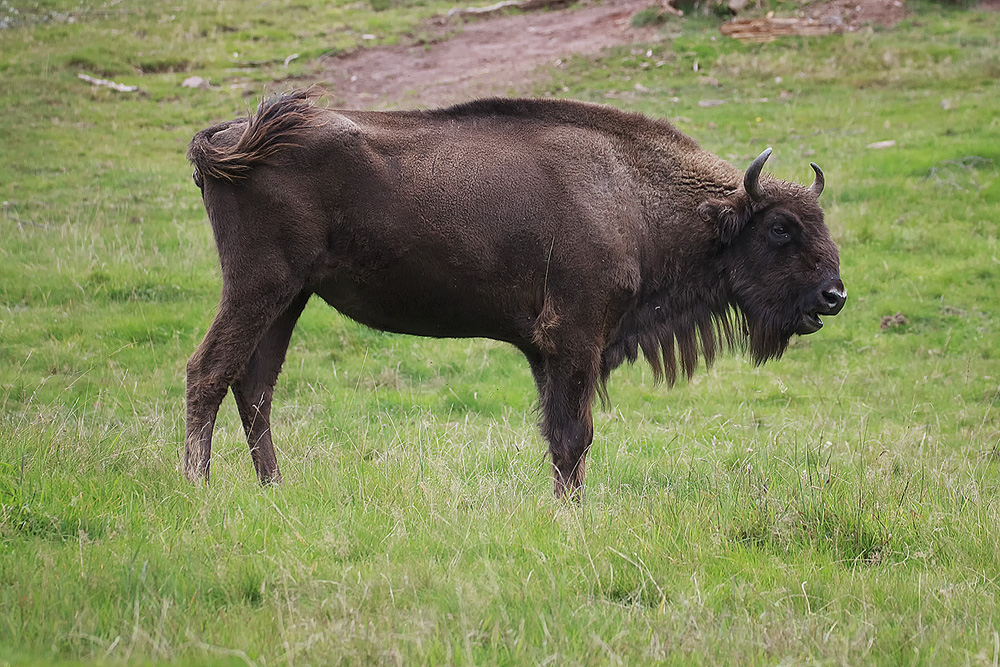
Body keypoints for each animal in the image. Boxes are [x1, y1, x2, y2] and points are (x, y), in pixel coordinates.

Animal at [186, 90, 844, 496]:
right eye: (781, 228)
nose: (833, 296)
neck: (632, 194)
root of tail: (232, 136)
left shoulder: (547, 352)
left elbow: (558, 434)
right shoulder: (575, 339)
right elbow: (575, 433)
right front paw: (571, 514)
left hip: (289, 297)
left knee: (255, 386)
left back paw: (274, 489)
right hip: (258, 285)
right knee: (210, 371)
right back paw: (199, 489)